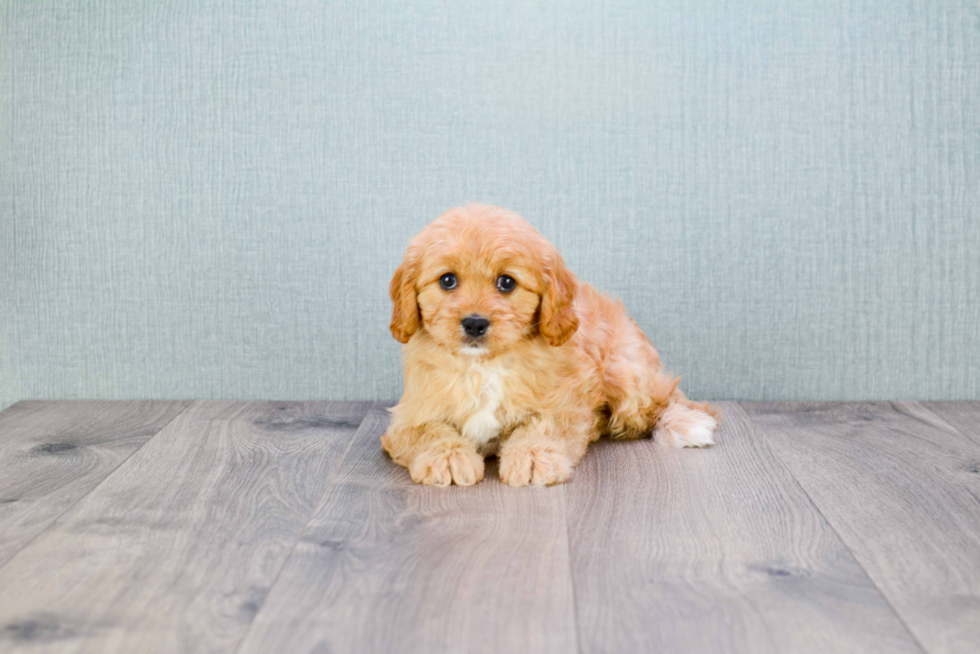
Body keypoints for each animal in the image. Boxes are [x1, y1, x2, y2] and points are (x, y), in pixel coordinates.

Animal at [382, 205, 720, 486]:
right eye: (447, 280)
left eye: (507, 282)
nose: (475, 323)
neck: (483, 365)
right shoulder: (409, 415)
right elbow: (427, 432)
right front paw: (449, 457)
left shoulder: (565, 402)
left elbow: (543, 426)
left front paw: (532, 457)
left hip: (625, 374)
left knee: (665, 398)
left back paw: (687, 423)